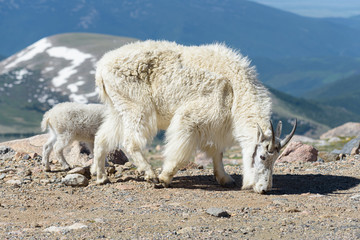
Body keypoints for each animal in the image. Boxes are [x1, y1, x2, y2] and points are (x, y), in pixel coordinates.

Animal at [92, 39, 296, 193]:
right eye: (262, 156)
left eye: (276, 159)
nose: (264, 189)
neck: (235, 91)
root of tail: (101, 68)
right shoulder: (192, 118)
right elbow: (180, 152)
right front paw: (165, 178)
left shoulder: (214, 125)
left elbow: (217, 152)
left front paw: (225, 179)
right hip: (136, 106)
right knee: (130, 141)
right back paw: (151, 175)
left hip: (118, 107)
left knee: (102, 137)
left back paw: (101, 176)